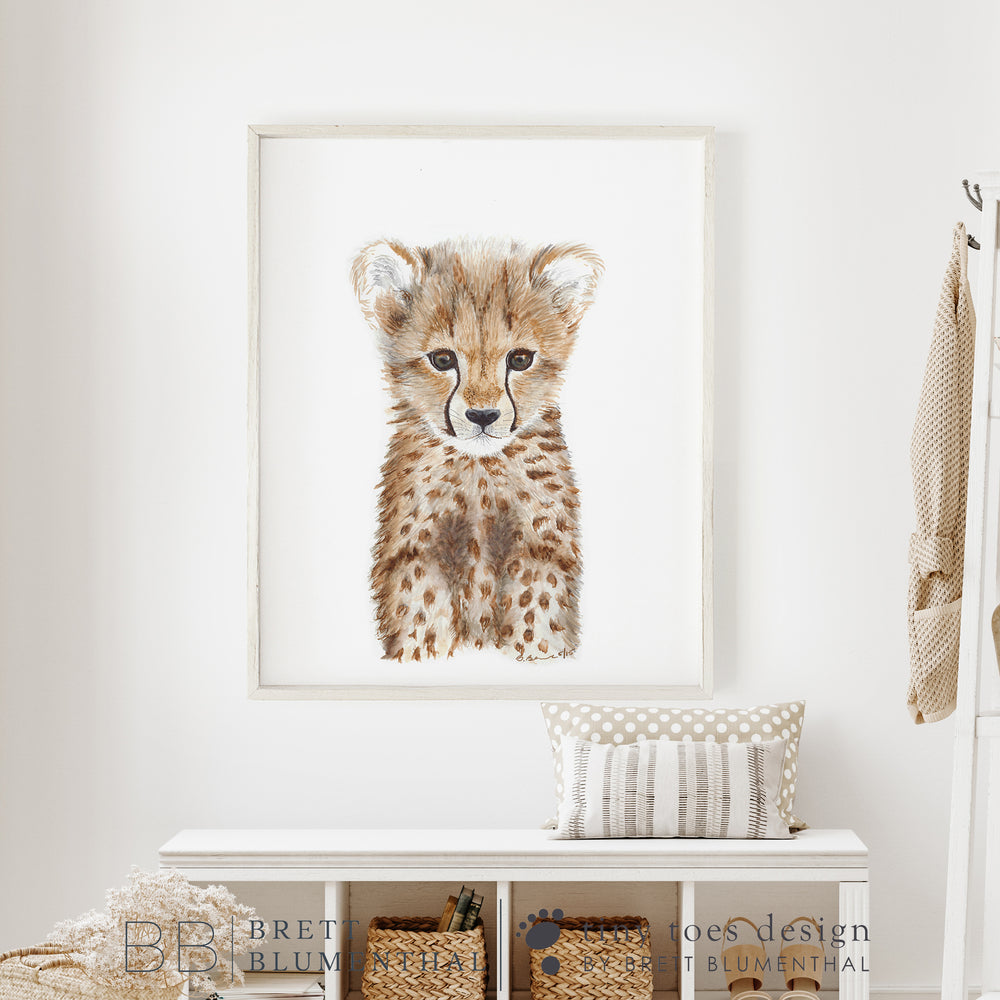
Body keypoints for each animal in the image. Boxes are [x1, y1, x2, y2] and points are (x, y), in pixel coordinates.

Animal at [350, 236, 603, 662]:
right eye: (442, 359)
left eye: (520, 358)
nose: (483, 415)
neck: (478, 470)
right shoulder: (419, 555)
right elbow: (422, 620)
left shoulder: (538, 552)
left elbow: (536, 616)